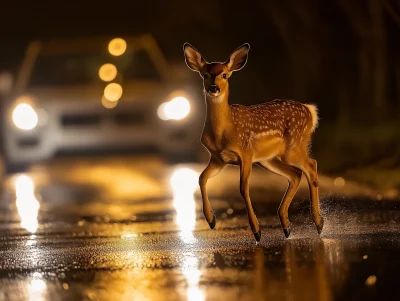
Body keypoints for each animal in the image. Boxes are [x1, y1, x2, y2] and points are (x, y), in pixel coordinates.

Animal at [183, 41, 324, 241]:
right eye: (205, 75)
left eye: (224, 75)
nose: (214, 88)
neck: (224, 129)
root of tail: (310, 110)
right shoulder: (218, 158)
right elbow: (201, 178)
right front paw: (211, 220)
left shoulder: (245, 154)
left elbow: (243, 189)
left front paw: (257, 231)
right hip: (269, 159)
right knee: (295, 174)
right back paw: (287, 226)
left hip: (294, 146)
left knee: (311, 165)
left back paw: (318, 223)